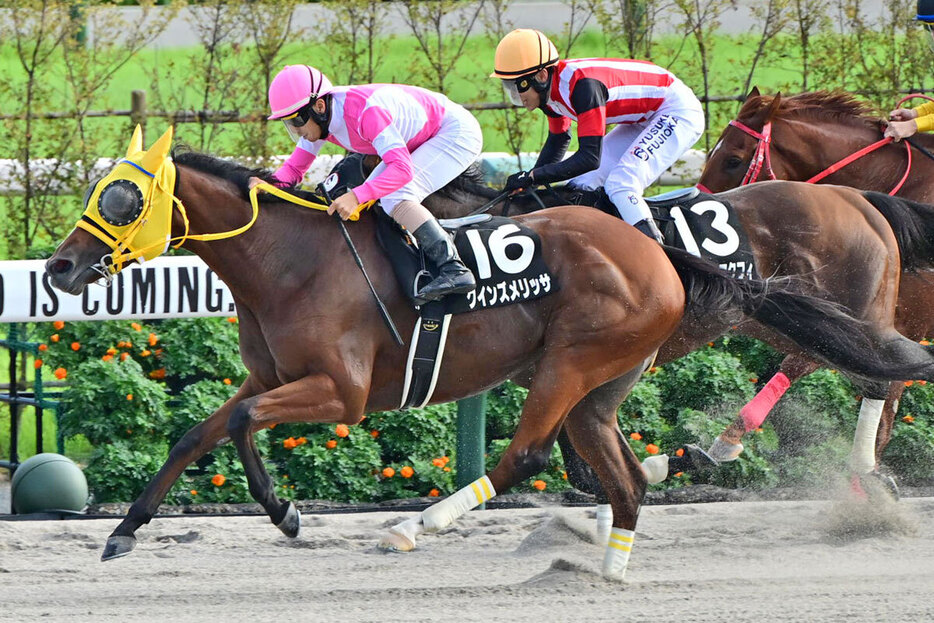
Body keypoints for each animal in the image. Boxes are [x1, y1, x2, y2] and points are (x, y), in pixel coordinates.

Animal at [44, 129, 934, 584]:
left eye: (120, 198)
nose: (57, 268)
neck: (289, 259)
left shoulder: (340, 392)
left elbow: (241, 427)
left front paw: (285, 510)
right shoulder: (275, 377)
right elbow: (198, 431)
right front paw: (124, 530)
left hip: (572, 362)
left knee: (527, 452)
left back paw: (416, 526)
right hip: (604, 380)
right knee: (617, 469)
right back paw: (614, 558)